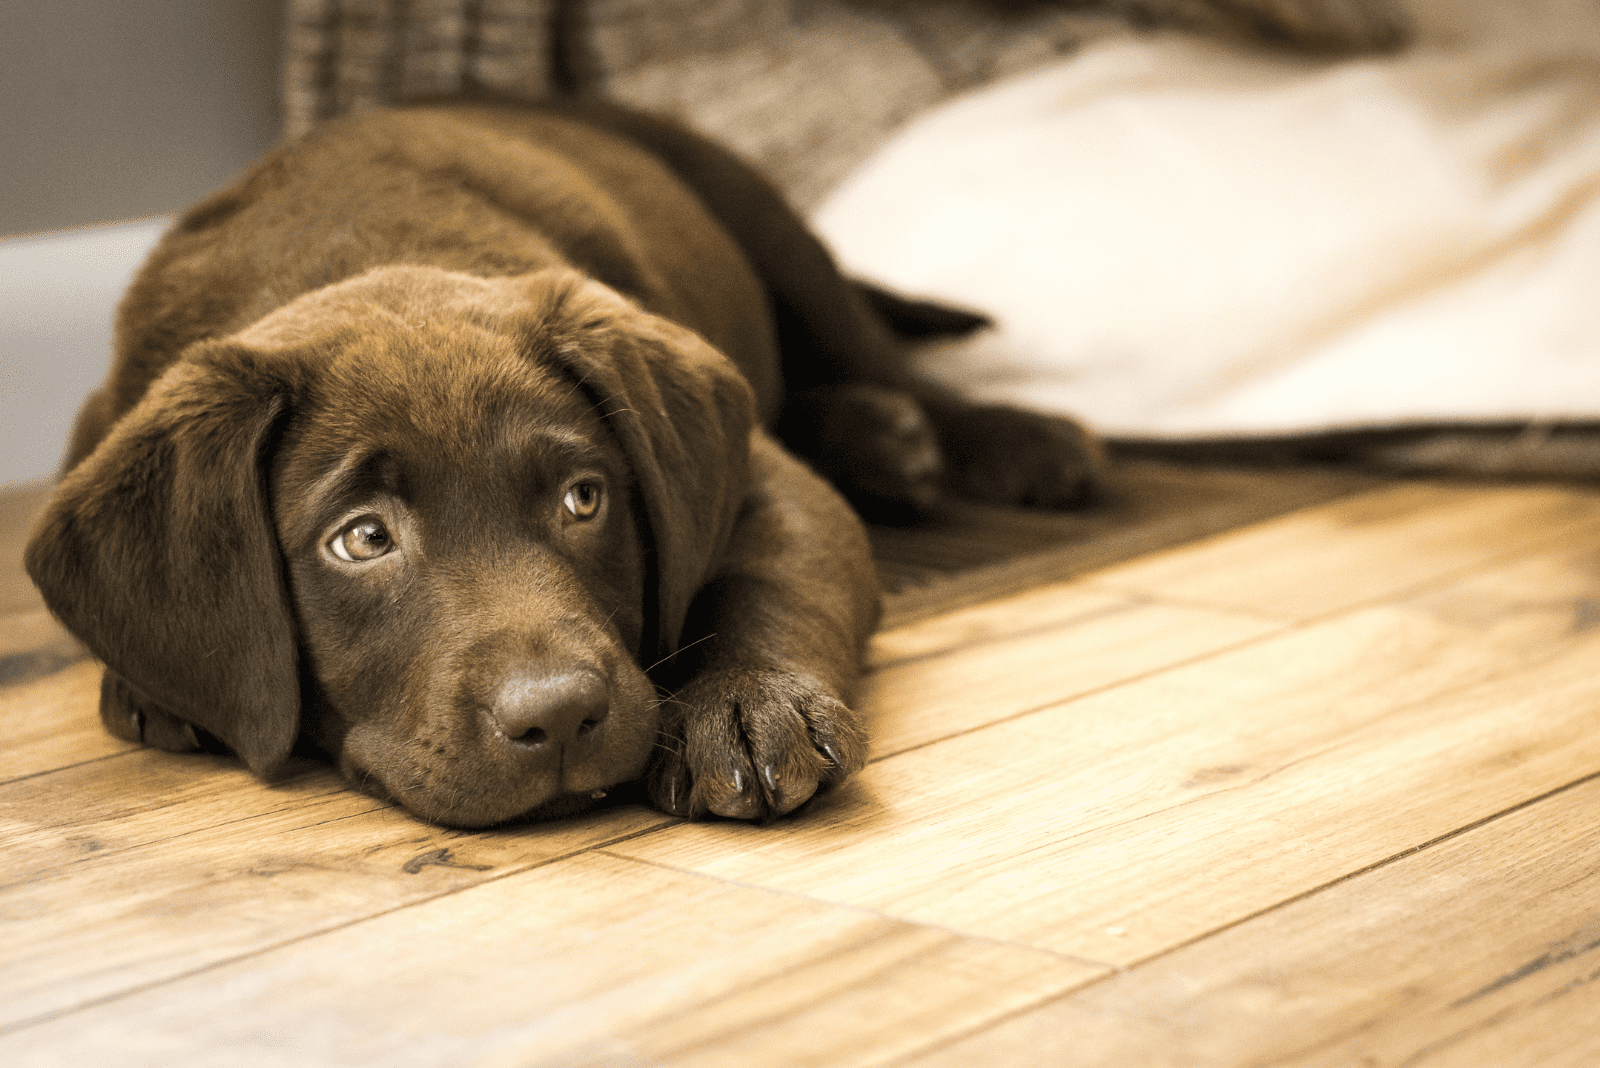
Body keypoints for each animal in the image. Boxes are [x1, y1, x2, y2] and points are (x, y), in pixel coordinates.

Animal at [25, 103, 1100, 824]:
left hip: (768, 226)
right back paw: (883, 439)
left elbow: (770, 575)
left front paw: (749, 700)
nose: (560, 718)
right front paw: (150, 690)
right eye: (361, 539)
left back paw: (1010, 441)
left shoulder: (765, 478)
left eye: (586, 499)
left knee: (885, 355)